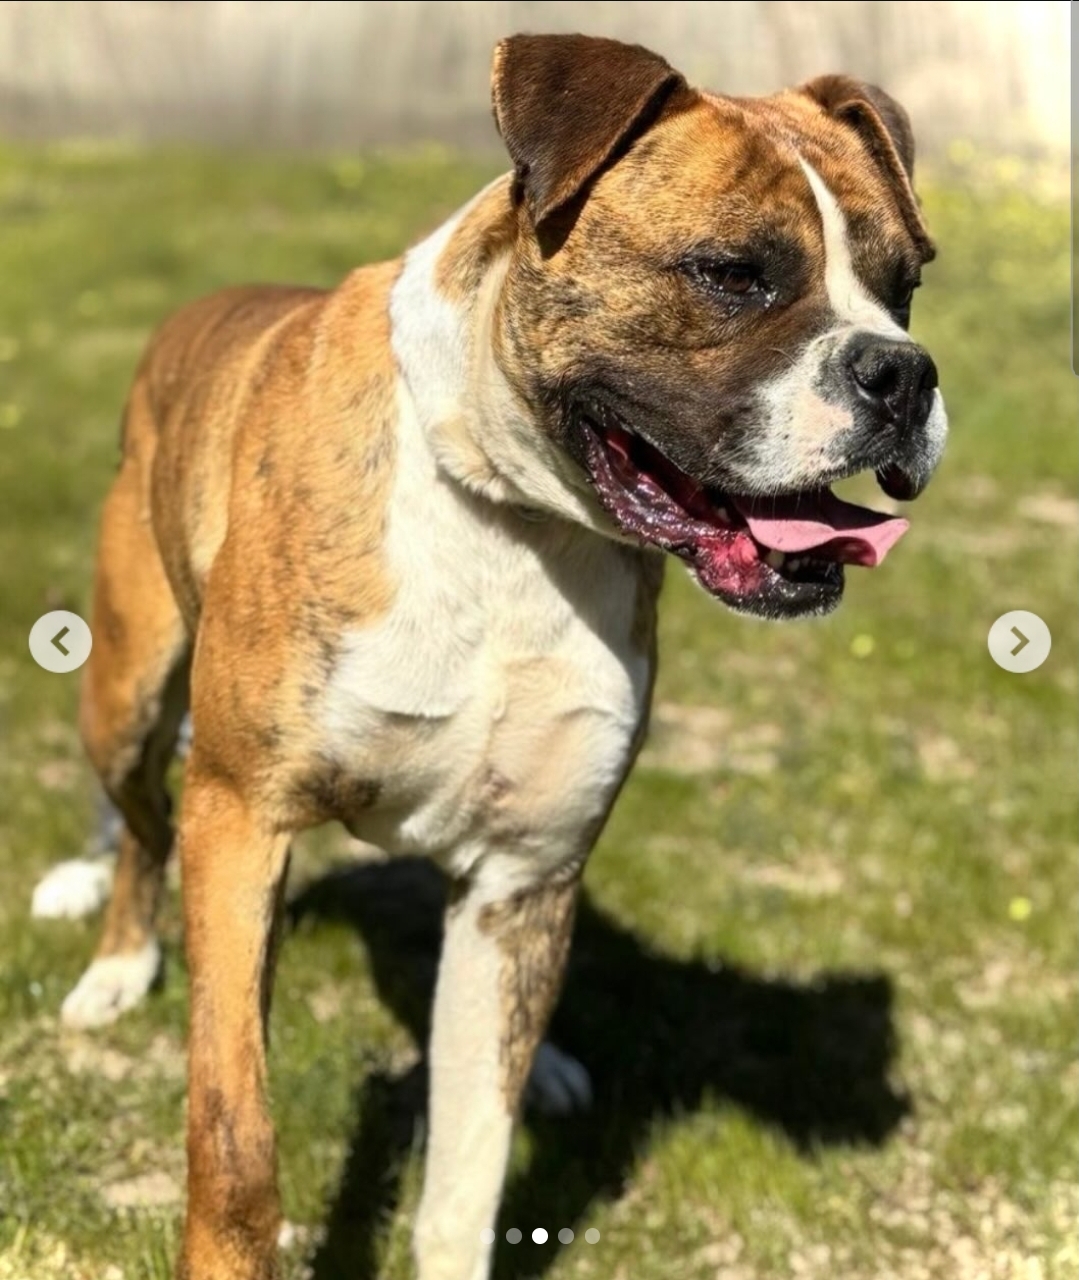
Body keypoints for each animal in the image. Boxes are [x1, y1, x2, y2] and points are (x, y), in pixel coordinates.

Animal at [59, 33, 945, 1280]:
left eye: (906, 284)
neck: (512, 519)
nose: (901, 373)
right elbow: (235, 1142)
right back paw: (118, 963)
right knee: (139, 825)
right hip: (128, 697)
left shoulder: (521, 874)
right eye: (731, 273)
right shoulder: (239, 817)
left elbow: (469, 1165)